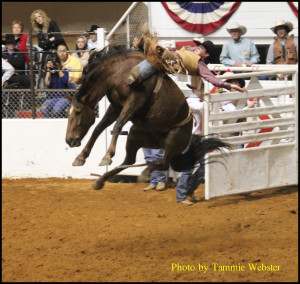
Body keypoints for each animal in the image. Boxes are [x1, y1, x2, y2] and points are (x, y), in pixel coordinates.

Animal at [65, 45, 230, 190]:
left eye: (78, 112)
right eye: (68, 113)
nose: (69, 140)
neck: (118, 72)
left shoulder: (135, 100)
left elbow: (117, 126)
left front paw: (107, 156)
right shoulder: (116, 107)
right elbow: (99, 128)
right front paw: (81, 157)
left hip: (172, 141)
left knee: (163, 163)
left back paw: (145, 173)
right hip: (136, 136)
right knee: (130, 160)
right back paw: (101, 181)